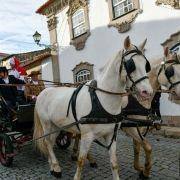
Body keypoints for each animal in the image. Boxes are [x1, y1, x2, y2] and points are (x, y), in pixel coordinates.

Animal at [33, 37, 153, 180]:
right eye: (131, 65)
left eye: (146, 65)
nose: (148, 92)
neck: (102, 99)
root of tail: (42, 93)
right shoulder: (87, 135)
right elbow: (81, 161)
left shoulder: (111, 135)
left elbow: (114, 163)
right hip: (47, 124)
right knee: (47, 142)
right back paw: (56, 168)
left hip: (57, 126)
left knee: (50, 143)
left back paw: (52, 165)